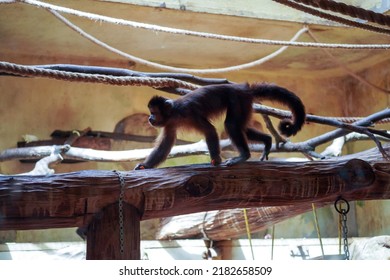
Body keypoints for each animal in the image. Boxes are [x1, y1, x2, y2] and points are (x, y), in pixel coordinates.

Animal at [134, 82, 304, 170]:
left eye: (154, 112)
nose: (150, 118)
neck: (174, 113)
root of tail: (243, 88)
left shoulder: (188, 112)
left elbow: (209, 130)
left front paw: (215, 160)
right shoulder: (169, 123)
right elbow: (165, 144)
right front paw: (145, 166)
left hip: (237, 100)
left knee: (231, 125)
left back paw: (244, 156)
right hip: (244, 104)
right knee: (242, 128)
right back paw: (267, 140)